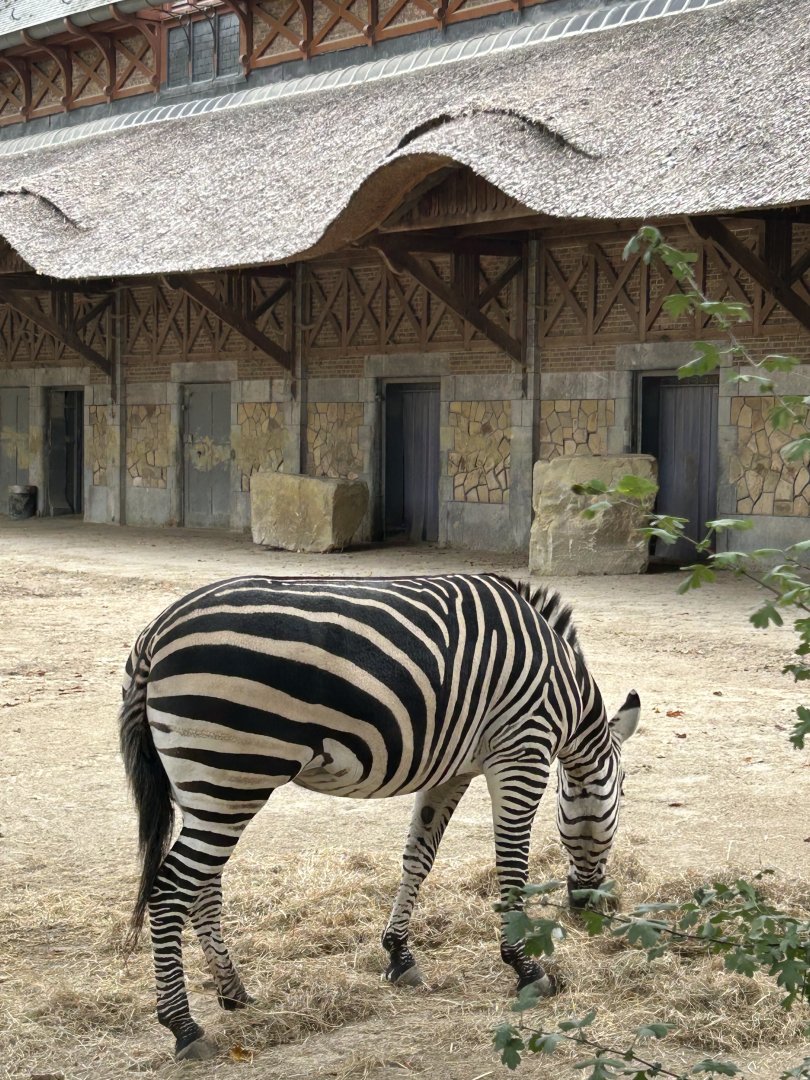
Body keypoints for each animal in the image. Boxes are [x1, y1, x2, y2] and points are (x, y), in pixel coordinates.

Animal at [119, 572, 640, 1060]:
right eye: (623, 791)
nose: (590, 907)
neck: (565, 689)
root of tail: (155, 632)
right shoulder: (522, 751)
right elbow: (511, 866)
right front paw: (525, 967)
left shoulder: (451, 767)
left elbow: (418, 858)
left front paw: (399, 954)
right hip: (231, 774)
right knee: (169, 891)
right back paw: (184, 1026)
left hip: (209, 785)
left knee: (204, 887)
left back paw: (235, 993)